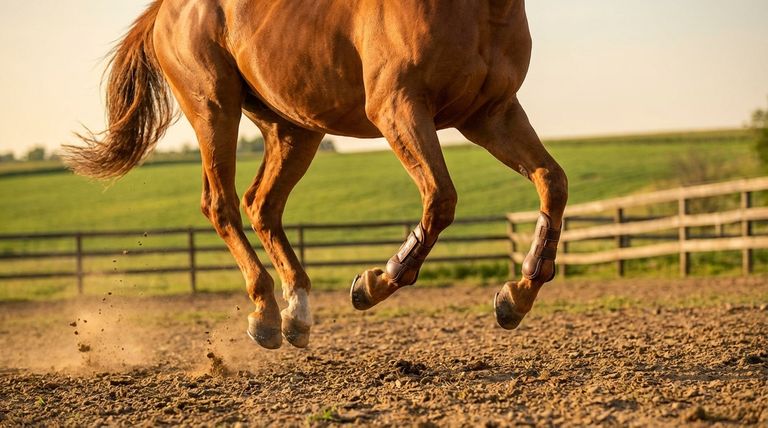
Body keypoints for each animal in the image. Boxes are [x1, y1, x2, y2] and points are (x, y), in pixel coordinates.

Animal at [64, 0, 568, 349]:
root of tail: (166, 10)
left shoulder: (491, 115)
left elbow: (552, 181)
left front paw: (517, 296)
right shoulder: (398, 107)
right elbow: (441, 198)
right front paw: (373, 284)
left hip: (294, 128)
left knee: (261, 205)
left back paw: (296, 315)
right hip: (214, 108)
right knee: (222, 205)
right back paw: (266, 314)